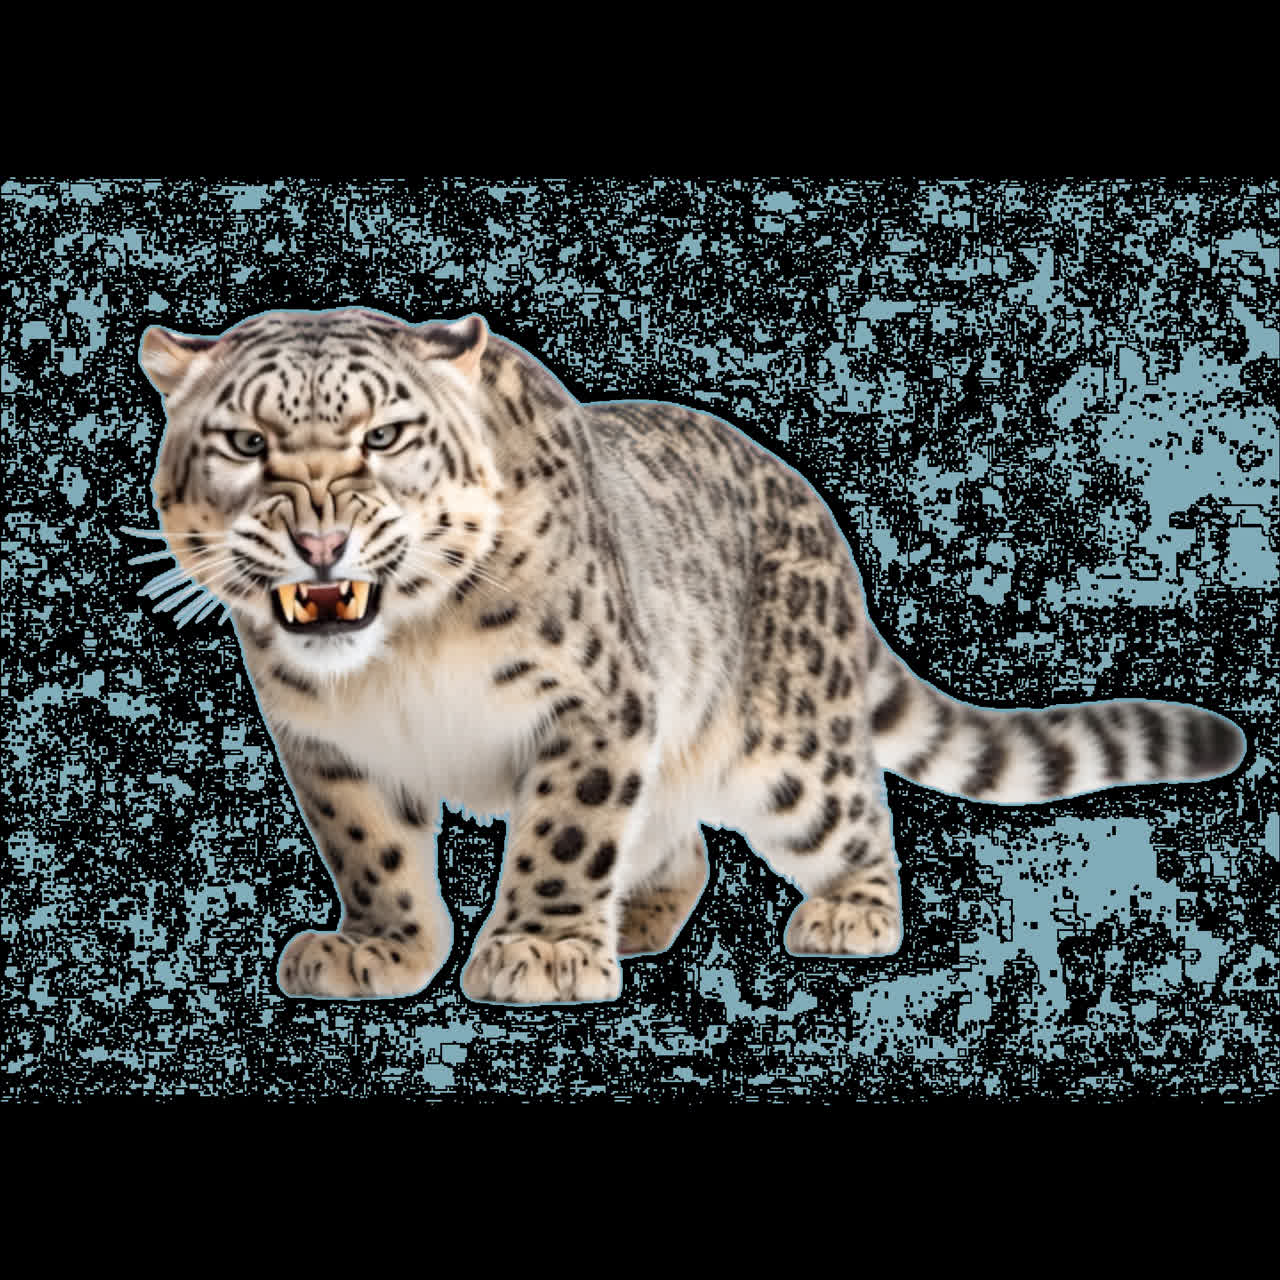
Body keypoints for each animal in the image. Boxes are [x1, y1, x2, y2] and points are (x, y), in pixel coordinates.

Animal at [138, 307, 1248, 1004]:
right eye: (243, 442)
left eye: (385, 436)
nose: (319, 540)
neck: (398, 656)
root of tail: (819, 517)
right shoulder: (326, 742)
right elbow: (370, 849)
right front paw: (384, 951)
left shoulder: (590, 705)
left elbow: (563, 832)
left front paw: (541, 952)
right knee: (686, 842)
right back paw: (632, 918)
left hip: (791, 754)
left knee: (853, 818)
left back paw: (844, 917)